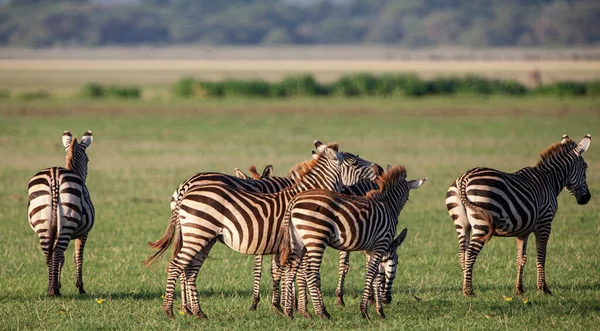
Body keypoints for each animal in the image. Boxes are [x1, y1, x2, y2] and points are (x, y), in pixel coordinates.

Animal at [26, 131, 94, 296]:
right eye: (88, 160)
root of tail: (54, 174)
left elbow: (61, 259)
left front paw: (58, 283)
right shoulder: (84, 233)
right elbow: (78, 257)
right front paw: (80, 287)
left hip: (44, 223)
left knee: (48, 253)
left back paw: (51, 288)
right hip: (66, 225)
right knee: (56, 252)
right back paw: (53, 290)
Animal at [144, 141, 380, 320]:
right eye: (353, 160)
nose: (379, 169)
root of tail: (186, 188)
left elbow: (285, 272)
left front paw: (288, 307)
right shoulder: (300, 242)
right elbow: (301, 274)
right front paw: (299, 309)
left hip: (202, 237)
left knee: (189, 269)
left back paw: (197, 312)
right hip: (198, 234)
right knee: (176, 266)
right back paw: (171, 311)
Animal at [278, 167, 424, 320]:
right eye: (397, 261)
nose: (388, 300)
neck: (387, 204)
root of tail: (294, 200)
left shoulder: (372, 248)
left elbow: (376, 276)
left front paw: (380, 311)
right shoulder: (381, 244)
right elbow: (372, 274)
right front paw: (365, 311)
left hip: (298, 241)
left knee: (290, 269)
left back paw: (289, 312)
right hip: (316, 238)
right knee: (311, 273)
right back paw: (322, 313)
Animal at [446, 135, 592, 298]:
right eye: (585, 167)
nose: (586, 198)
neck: (549, 181)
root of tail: (464, 179)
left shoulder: (523, 231)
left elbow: (521, 258)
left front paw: (519, 289)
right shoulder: (545, 222)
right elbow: (541, 255)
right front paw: (544, 289)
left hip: (461, 224)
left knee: (462, 253)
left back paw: (464, 286)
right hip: (481, 224)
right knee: (470, 252)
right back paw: (469, 291)